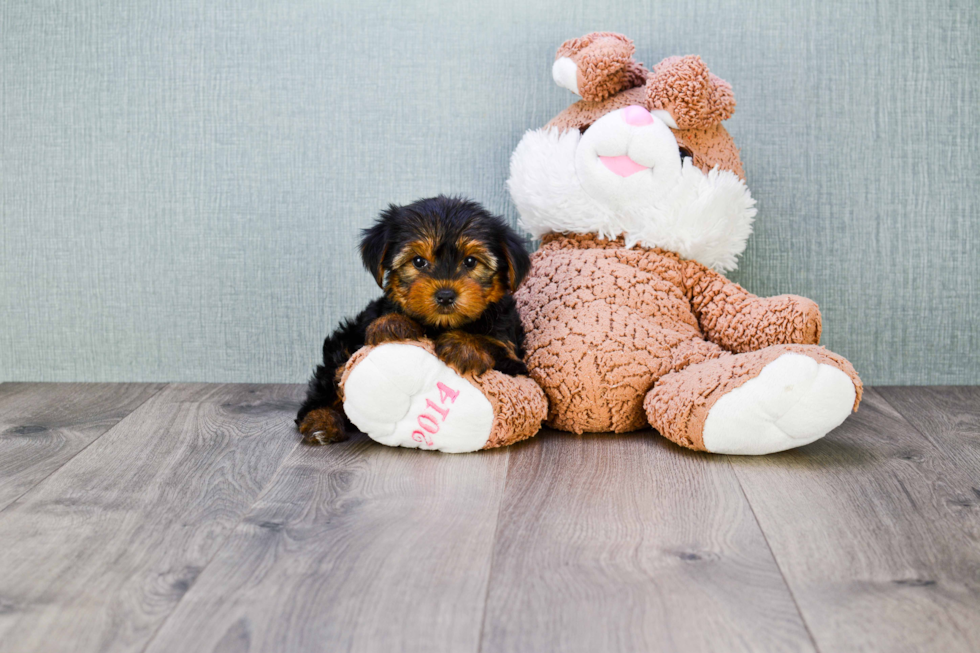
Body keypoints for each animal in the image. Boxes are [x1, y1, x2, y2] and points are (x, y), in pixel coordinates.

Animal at [296, 195, 532, 444]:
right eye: (418, 261)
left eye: (470, 262)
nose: (445, 295)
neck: (440, 325)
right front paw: (392, 323)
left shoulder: (513, 357)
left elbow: (496, 345)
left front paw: (465, 344)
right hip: (342, 345)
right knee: (326, 385)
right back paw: (320, 422)